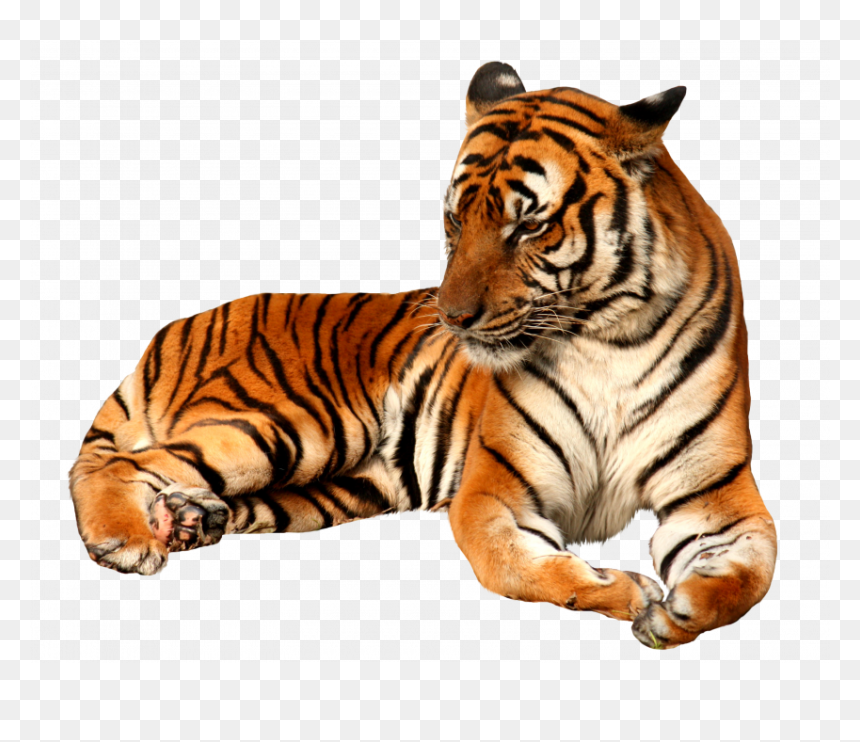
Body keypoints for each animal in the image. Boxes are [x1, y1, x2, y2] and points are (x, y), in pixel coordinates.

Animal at [69, 61, 777, 649]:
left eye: (529, 225)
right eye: (456, 220)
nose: (452, 318)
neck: (607, 340)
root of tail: (176, 327)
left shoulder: (716, 493)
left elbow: (754, 574)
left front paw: (678, 612)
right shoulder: (495, 490)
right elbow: (515, 567)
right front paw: (627, 592)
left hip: (336, 486)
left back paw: (189, 519)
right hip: (293, 425)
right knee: (118, 463)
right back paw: (125, 540)